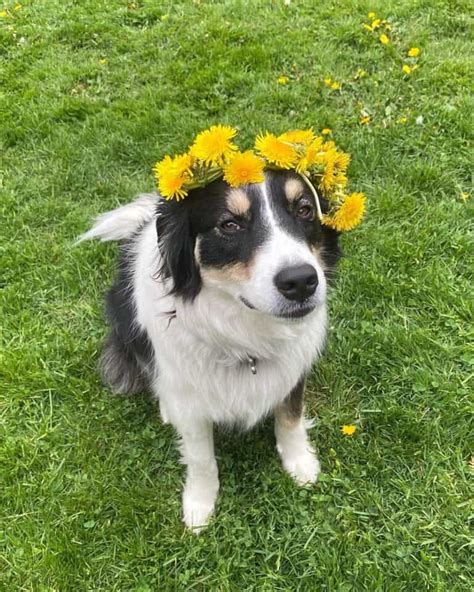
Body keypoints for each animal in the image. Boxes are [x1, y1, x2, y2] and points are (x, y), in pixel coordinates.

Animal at [81, 169, 340, 528]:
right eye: (229, 224)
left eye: (303, 209)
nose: (301, 281)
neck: (244, 337)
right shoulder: (191, 403)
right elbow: (201, 456)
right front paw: (199, 505)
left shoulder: (294, 369)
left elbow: (290, 417)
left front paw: (300, 462)